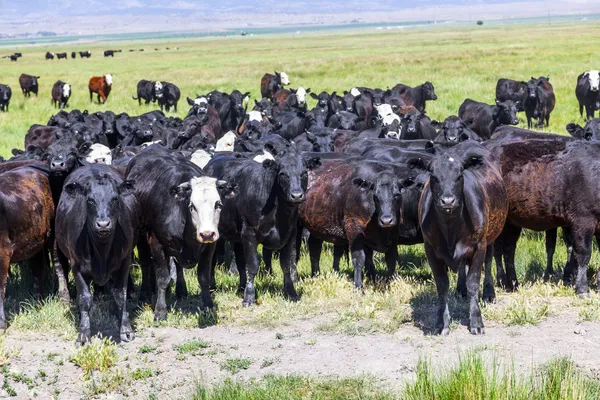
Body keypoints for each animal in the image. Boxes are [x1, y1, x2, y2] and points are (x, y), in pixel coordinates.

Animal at [55, 164, 141, 342]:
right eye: (90, 200)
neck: (102, 250)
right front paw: (83, 333)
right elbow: (85, 298)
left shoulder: (125, 262)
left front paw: (125, 329)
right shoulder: (77, 265)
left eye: (115, 199)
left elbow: (120, 294)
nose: (103, 224)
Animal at [126, 147, 237, 318]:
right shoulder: (156, 243)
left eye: (218, 204)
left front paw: (208, 305)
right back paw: (145, 293)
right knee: (145, 263)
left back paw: (181, 290)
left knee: (178, 266)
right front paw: (160, 310)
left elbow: (203, 277)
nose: (207, 234)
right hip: (142, 238)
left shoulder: (209, 246)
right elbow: (163, 278)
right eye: (192, 206)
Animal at [205, 147, 318, 306]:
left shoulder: (290, 234)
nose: (296, 195)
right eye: (282, 174)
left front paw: (291, 292)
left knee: (240, 261)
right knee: (212, 260)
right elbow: (252, 265)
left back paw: (241, 287)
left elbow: (286, 264)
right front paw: (249, 297)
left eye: (304, 174)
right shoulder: (249, 232)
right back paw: (212, 286)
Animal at [420, 141, 508, 334]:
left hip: (491, 237)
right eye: (433, 176)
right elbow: (442, 285)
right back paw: (461, 289)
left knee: (488, 263)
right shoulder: (430, 249)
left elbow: (473, 282)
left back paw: (489, 293)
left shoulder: (479, 246)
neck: (450, 229)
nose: (447, 201)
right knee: (462, 267)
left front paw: (476, 321)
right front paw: (442, 322)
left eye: (460, 176)